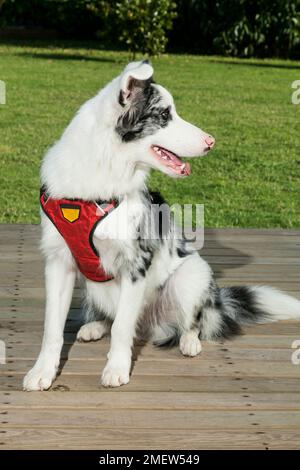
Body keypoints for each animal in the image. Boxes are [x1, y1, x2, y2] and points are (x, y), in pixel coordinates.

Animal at [22, 61, 300, 390]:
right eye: (164, 115)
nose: (211, 142)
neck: (103, 172)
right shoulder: (59, 262)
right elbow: (52, 328)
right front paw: (42, 371)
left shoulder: (136, 263)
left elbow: (122, 328)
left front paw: (116, 368)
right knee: (108, 317)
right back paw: (94, 326)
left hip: (192, 275)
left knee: (192, 322)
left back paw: (190, 342)